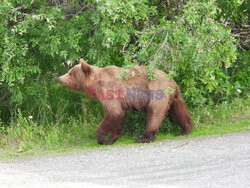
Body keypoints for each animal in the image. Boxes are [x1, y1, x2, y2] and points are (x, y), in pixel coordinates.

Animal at [58, 58, 193, 145]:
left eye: (70, 73)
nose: (59, 78)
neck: (96, 83)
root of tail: (171, 81)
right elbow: (119, 116)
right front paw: (112, 138)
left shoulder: (110, 91)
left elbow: (114, 113)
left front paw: (101, 138)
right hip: (174, 96)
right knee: (179, 110)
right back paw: (185, 129)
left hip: (157, 92)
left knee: (155, 113)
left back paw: (143, 137)